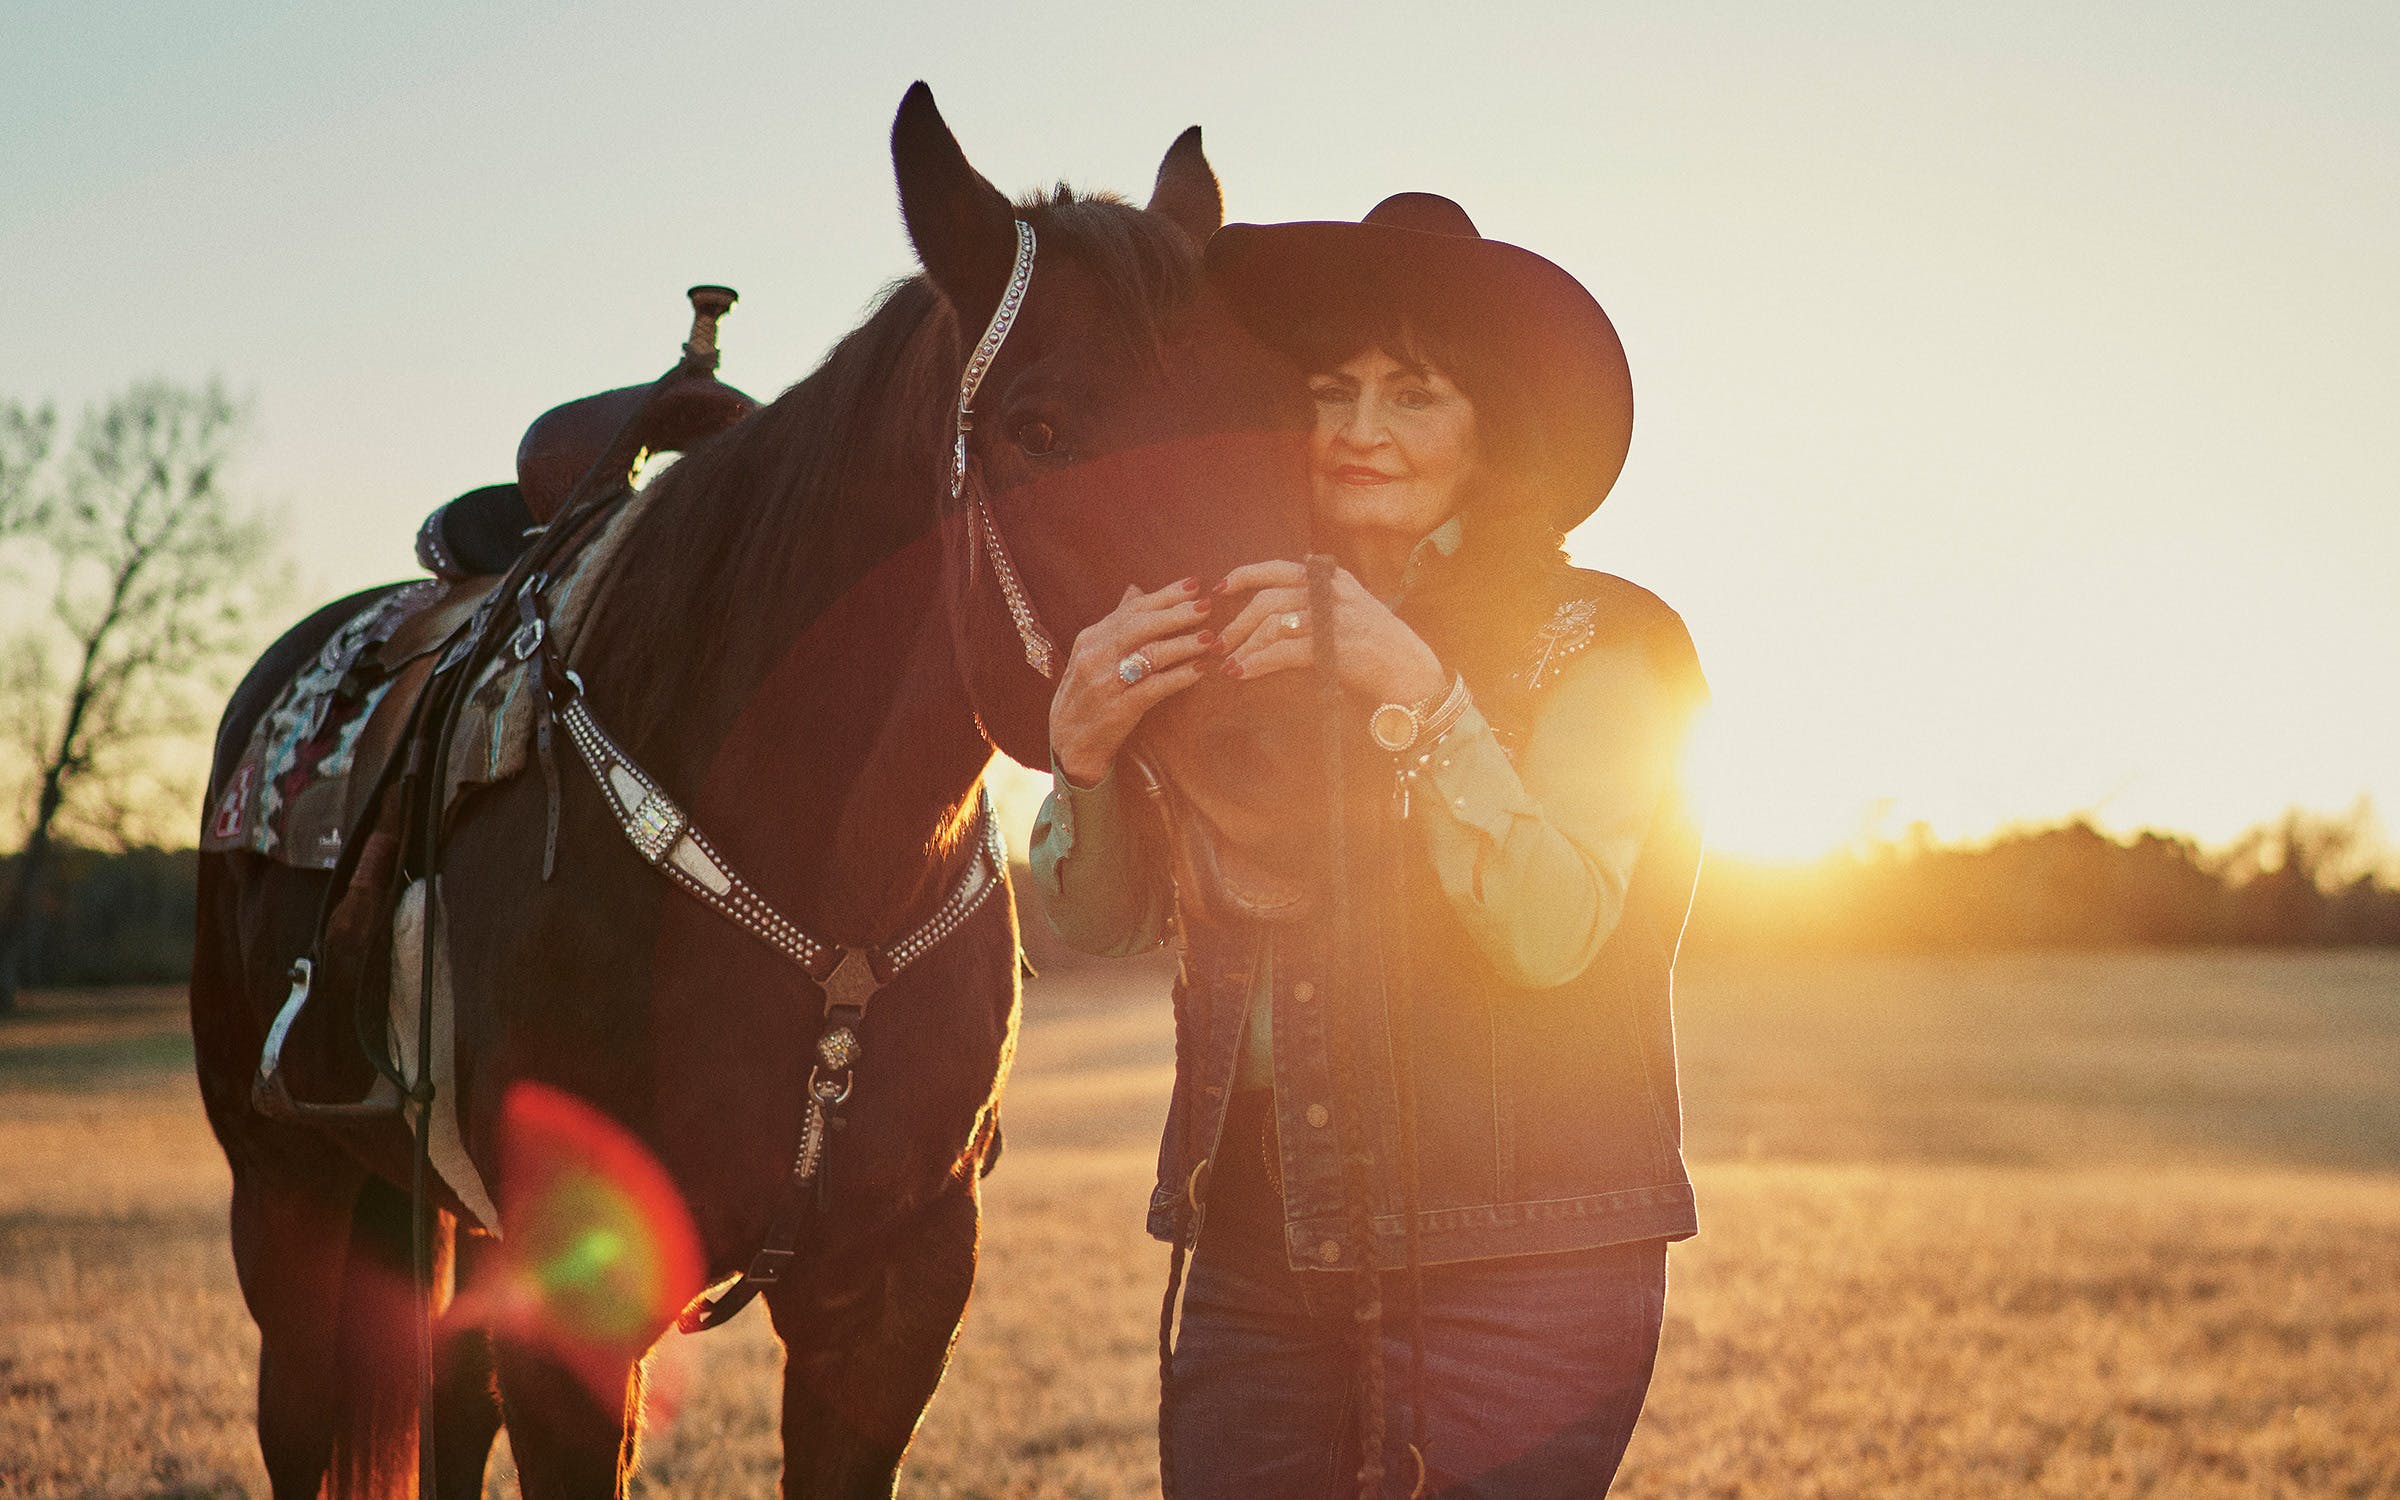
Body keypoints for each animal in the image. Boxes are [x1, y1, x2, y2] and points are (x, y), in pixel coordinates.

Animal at [187, 87, 1315, 1488]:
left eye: (1265, 407)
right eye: (1039, 428)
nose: (1287, 744)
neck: (814, 867)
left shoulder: (891, 1300)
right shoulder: (580, 1306)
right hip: (284, 1192)